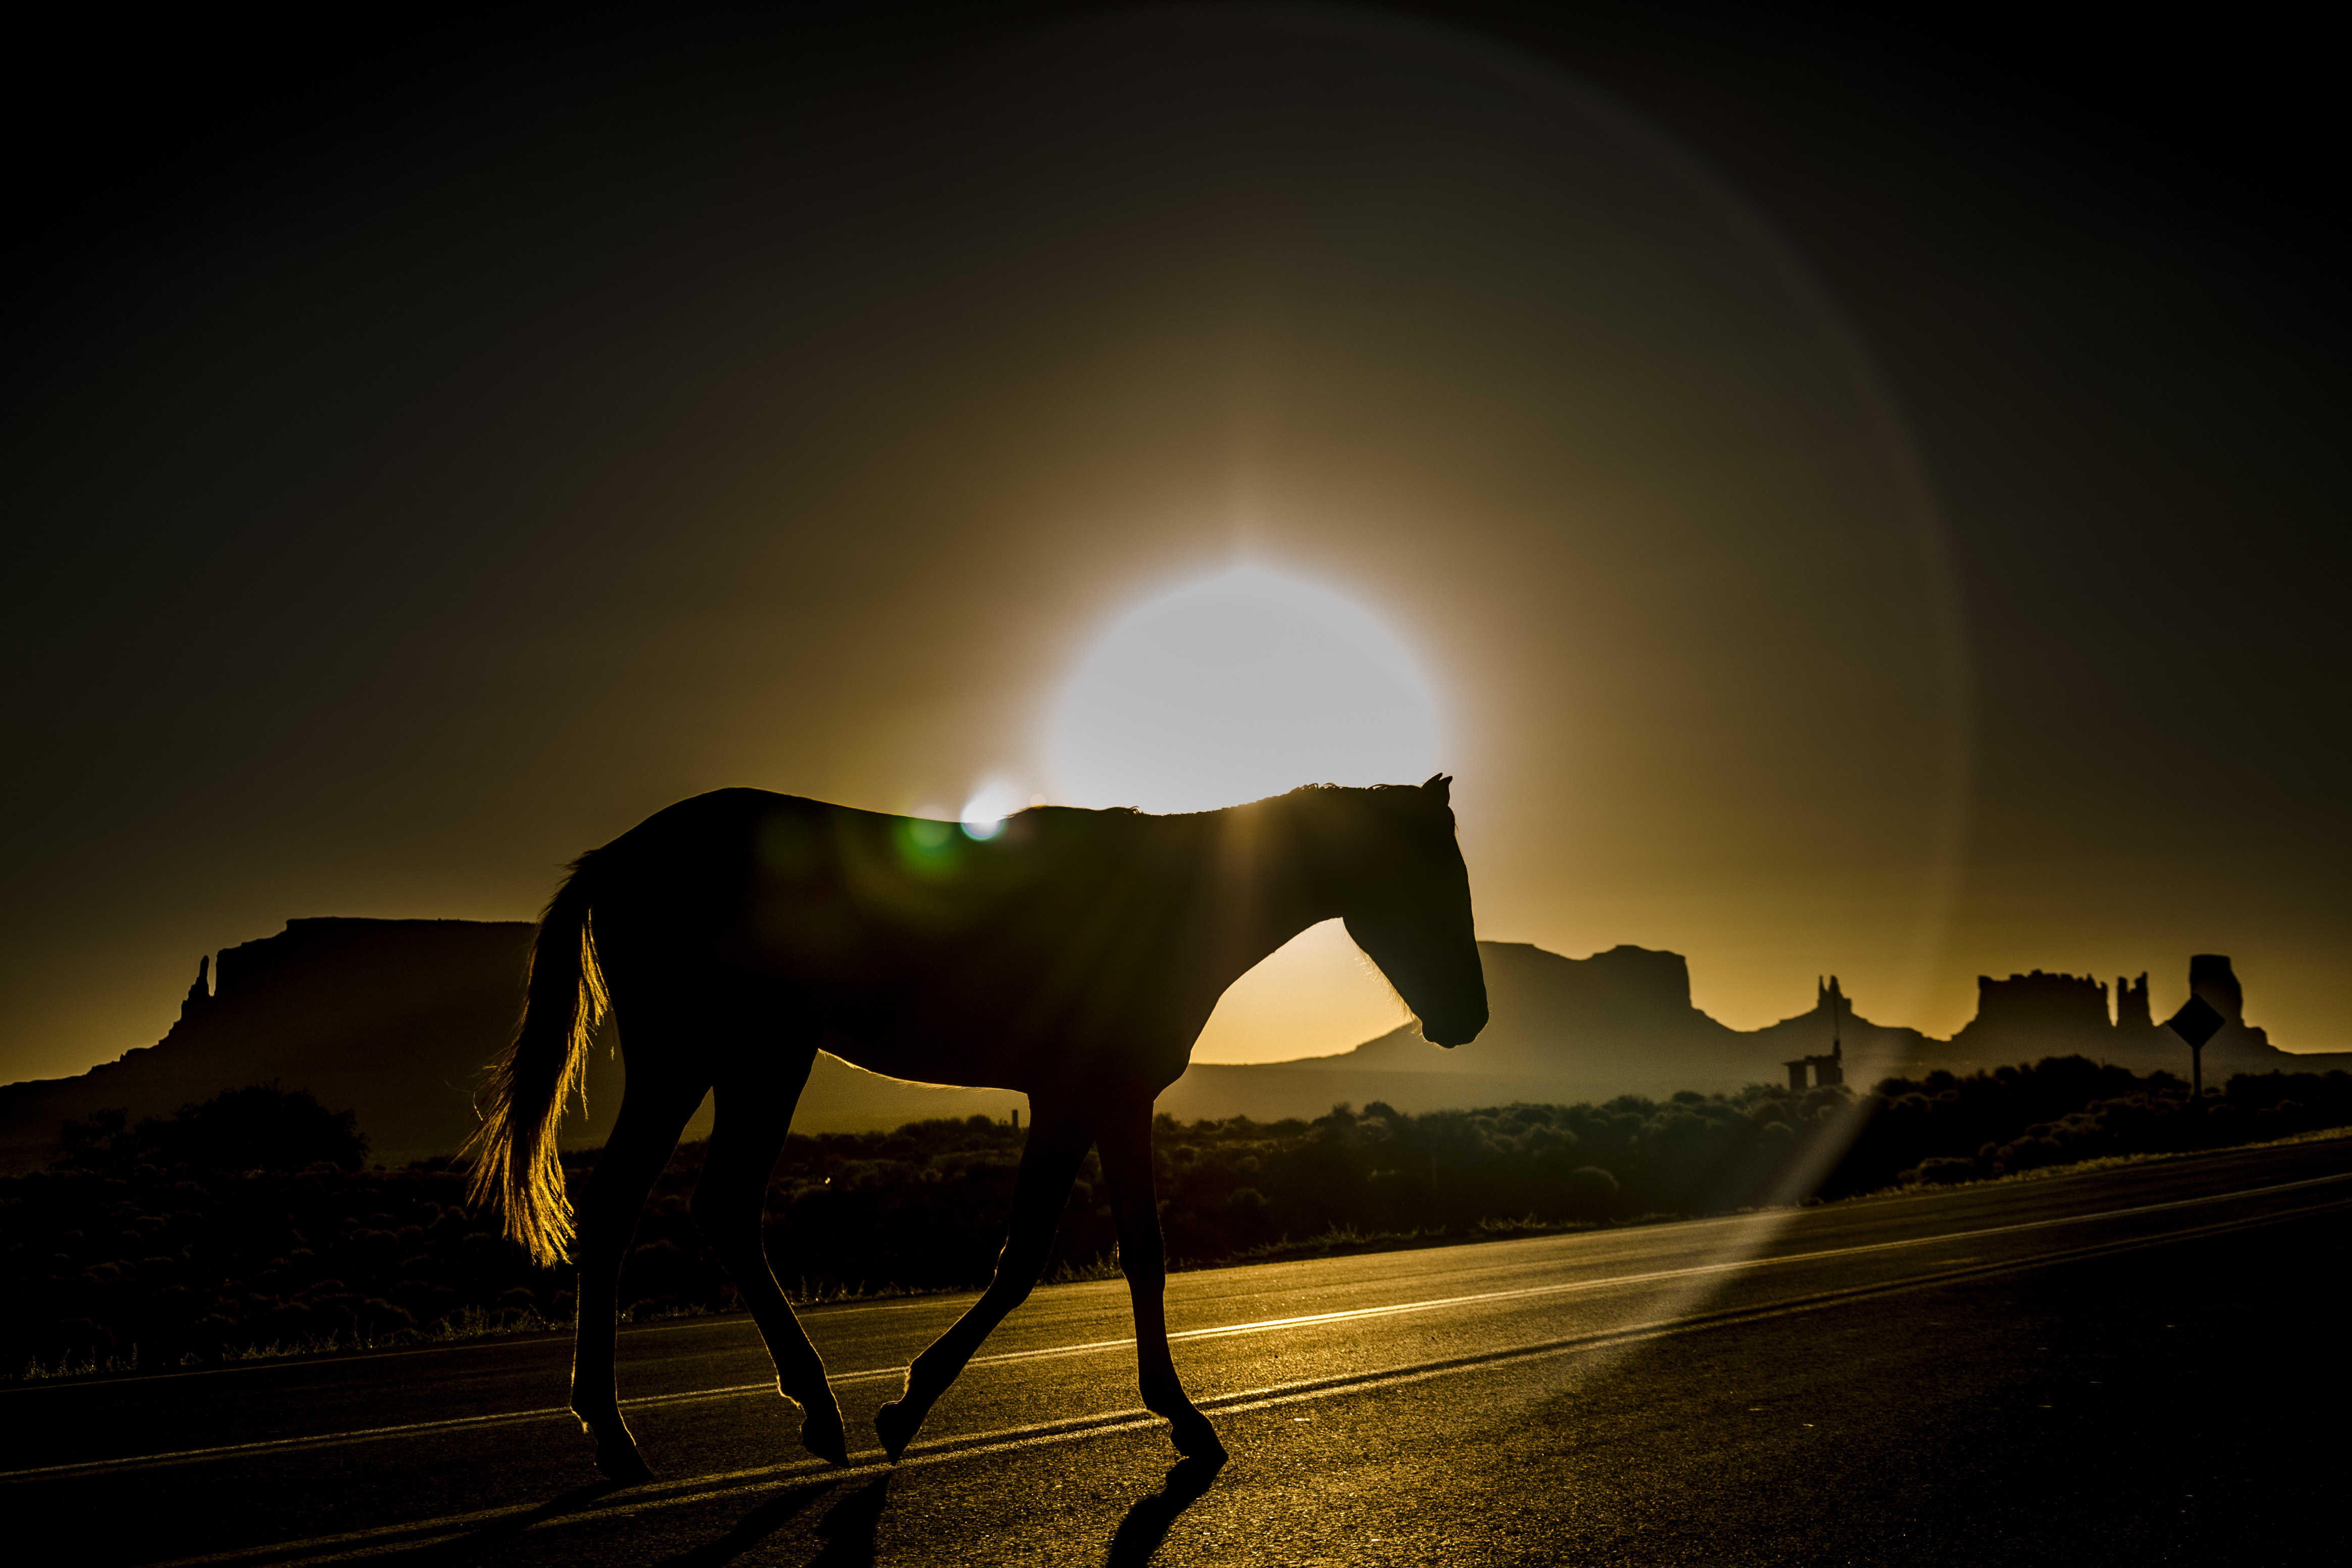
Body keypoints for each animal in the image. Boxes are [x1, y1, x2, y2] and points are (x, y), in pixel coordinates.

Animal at [463, 775, 1485, 1483]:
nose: (1469, 1018)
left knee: (708, 1209)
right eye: (1431, 879)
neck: (1168, 898)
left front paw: (1179, 1414)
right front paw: (909, 1405)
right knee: (633, 1210)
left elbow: (1144, 1255)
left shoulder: (1117, 1101)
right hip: (703, 1055)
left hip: (759, 1057)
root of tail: (618, 856)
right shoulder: (1073, 1097)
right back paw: (631, 1431)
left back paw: (789, 1412)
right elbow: (1025, 1255)